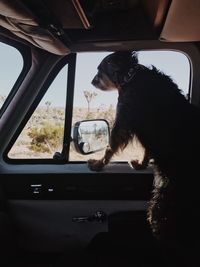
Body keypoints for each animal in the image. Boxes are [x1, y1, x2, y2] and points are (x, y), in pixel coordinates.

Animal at [88, 51, 200, 253]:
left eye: (100, 69)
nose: (92, 81)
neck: (130, 76)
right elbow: (147, 150)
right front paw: (141, 164)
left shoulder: (123, 117)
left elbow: (110, 145)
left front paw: (98, 163)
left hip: (166, 200)